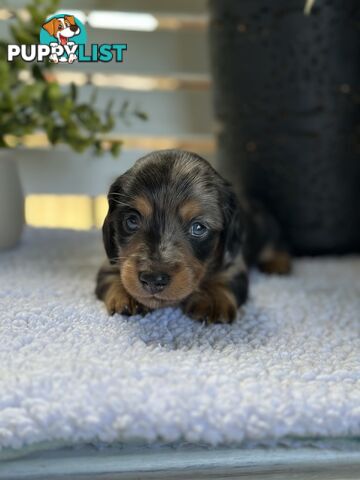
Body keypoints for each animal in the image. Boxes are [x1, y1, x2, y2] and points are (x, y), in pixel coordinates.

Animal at [95, 150, 290, 322]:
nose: (153, 280)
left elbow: (225, 278)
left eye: (198, 227)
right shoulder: (113, 258)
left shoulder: (234, 262)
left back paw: (278, 263)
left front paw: (212, 298)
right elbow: (112, 275)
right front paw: (127, 295)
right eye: (132, 220)